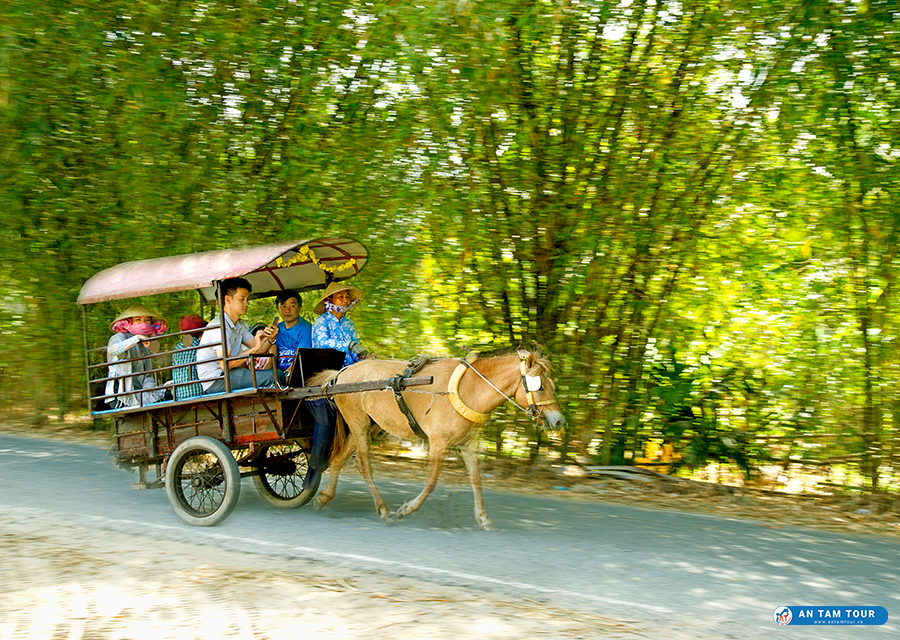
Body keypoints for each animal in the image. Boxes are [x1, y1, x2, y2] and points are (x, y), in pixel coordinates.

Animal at [308, 350, 564, 528]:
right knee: (364, 467)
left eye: (551, 385)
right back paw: (384, 511)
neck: (468, 388)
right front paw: (407, 509)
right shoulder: (438, 443)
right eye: (540, 387)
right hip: (359, 424)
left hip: (368, 426)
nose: (559, 420)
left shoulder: (467, 443)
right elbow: (431, 482)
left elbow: (476, 480)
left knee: (339, 459)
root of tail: (341, 374)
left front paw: (483, 518)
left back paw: (324, 498)